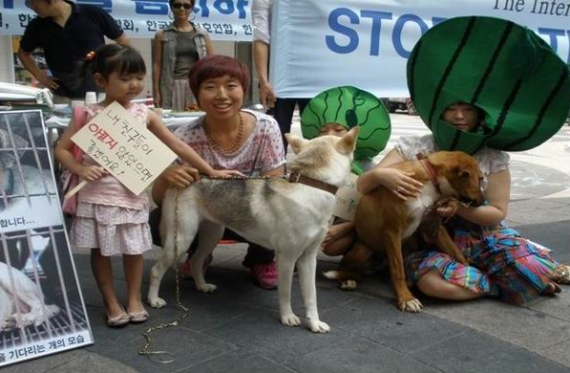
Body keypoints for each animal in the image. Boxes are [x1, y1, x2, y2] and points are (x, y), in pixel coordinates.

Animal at [149, 127, 358, 332]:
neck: (311, 186)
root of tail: (187, 178)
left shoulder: (308, 258)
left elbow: (311, 297)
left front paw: (314, 323)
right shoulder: (287, 258)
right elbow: (285, 292)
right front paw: (288, 317)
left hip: (211, 235)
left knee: (195, 261)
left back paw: (202, 286)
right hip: (182, 239)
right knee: (156, 270)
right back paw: (153, 300)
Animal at [336, 150, 482, 310]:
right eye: (480, 178)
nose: (482, 202)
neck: (428, 180)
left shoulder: (432, 226)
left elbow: (455, 251)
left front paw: (470, 270)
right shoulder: (392, 231)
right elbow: (398, 269)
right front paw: (406, 299)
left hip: (409, 243)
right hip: (362, 250)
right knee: (344, 265)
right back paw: (346, 280)